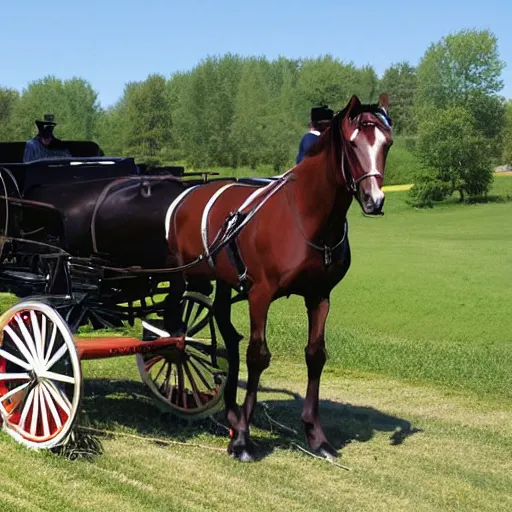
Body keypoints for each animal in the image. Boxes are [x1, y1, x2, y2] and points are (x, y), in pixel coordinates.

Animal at [166, 95, 394, 460]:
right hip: (184, 274)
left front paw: (317, 436)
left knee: (226, 331)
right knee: (174, 323)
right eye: (352, 143)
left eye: (387, 143)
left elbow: (315, 355)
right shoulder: (260, 295)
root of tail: (190, 193)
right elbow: (258, 356)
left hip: (224, 282)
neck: (306, 217)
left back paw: (231, 410)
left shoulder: (319, 296)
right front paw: (243, 439)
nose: (375, 200)